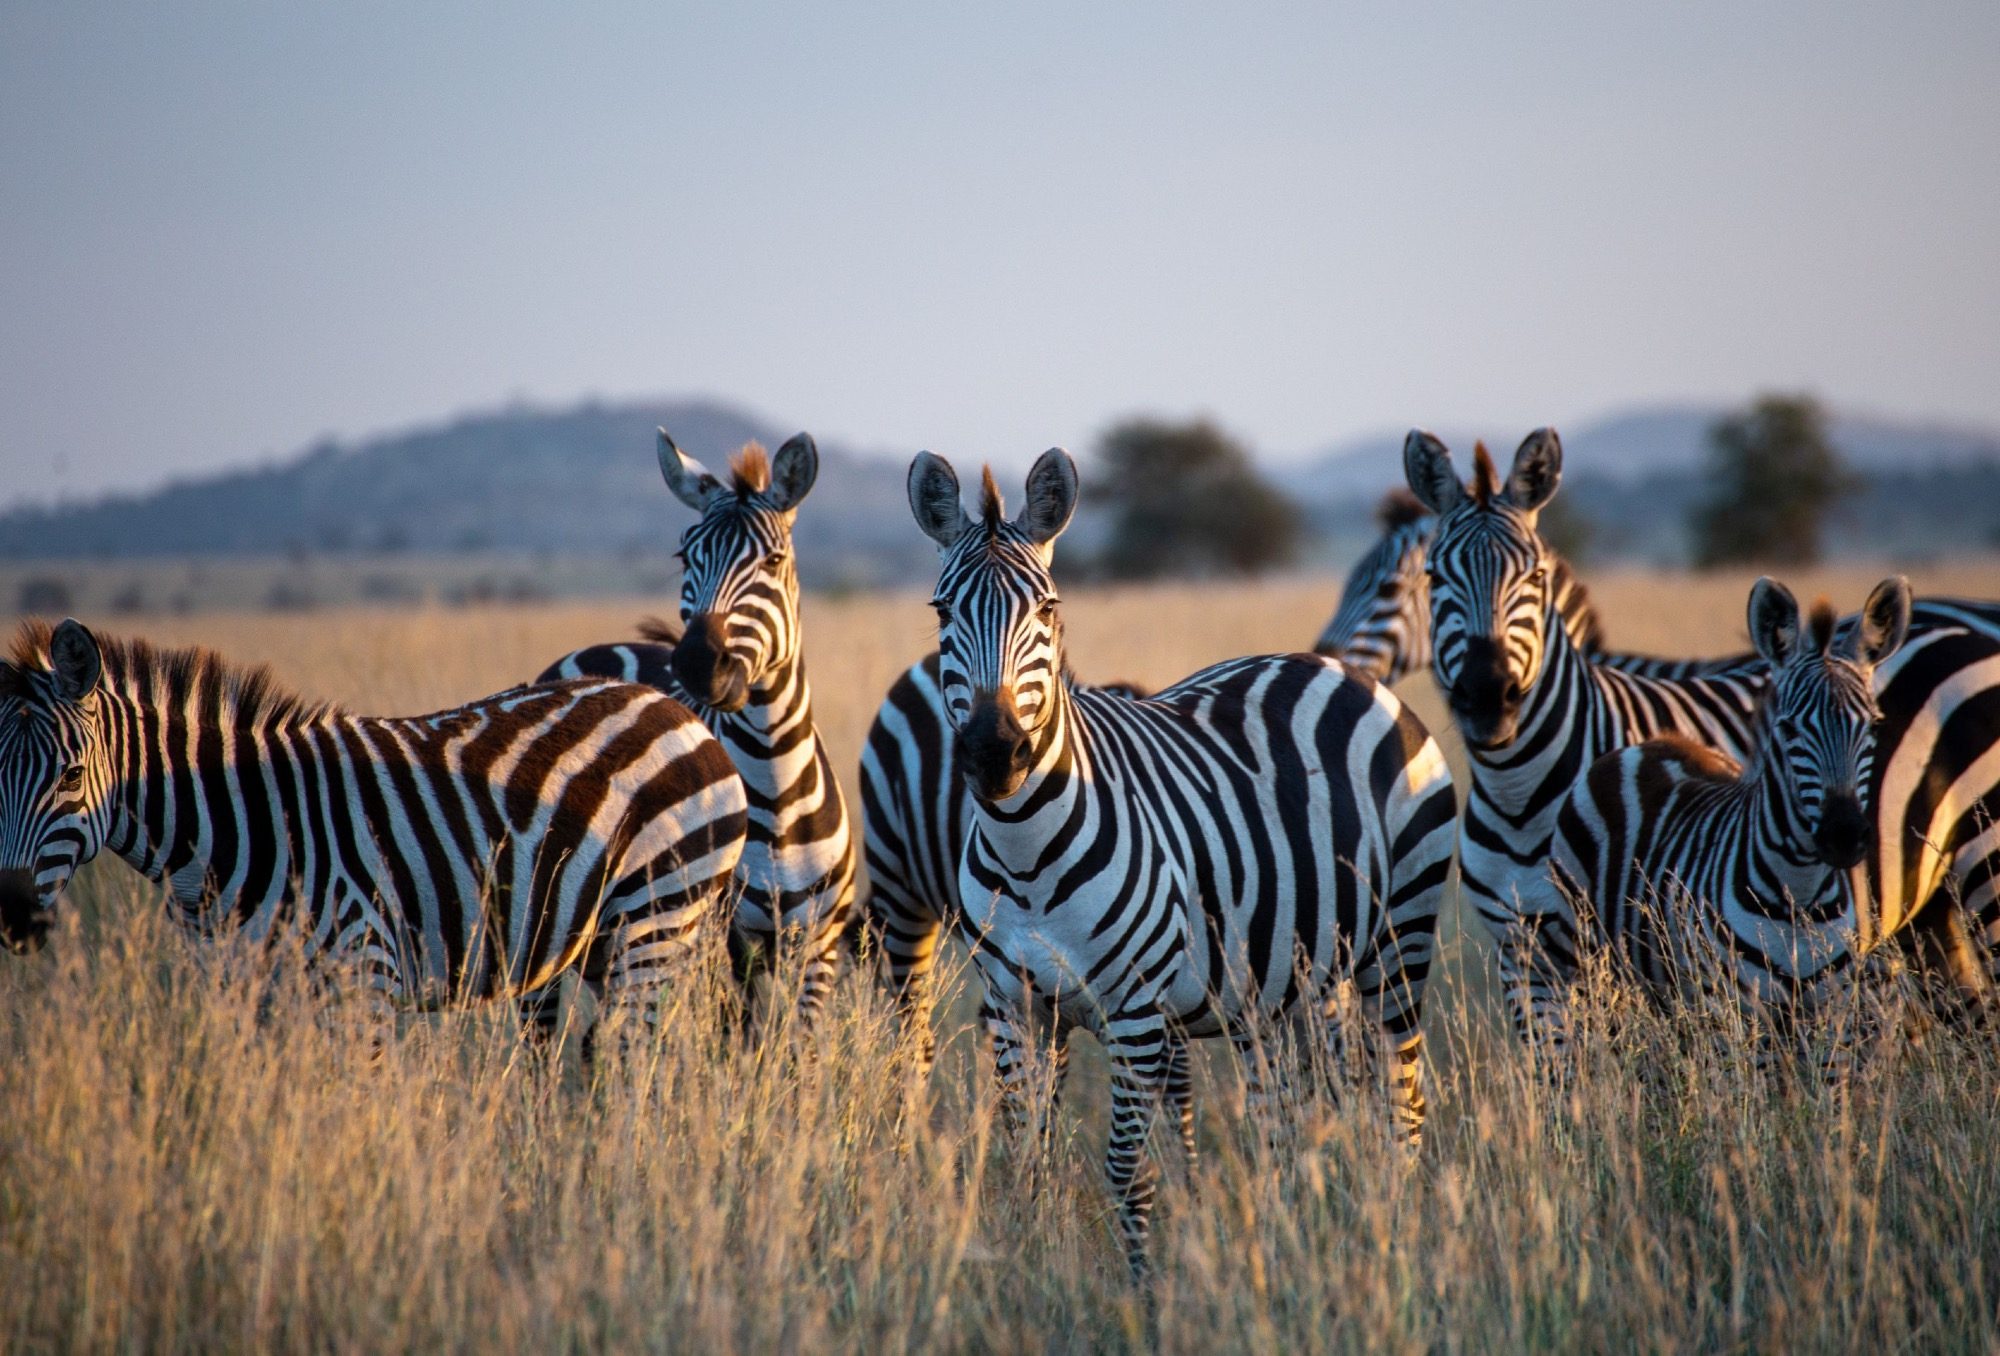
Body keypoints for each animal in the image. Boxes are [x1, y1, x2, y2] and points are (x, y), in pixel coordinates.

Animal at [0, 618, 748, 1055]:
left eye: (71, 775)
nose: (13, 917)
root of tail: (674, 707)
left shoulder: (364, 978)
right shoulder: (239, 995)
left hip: (654, 918)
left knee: (640, 1064)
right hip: (597, 939)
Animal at [539, 430, 858, 1030]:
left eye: (774, 560)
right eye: (686, 555)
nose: (696, 662)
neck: (776, 783)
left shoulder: (818, 948)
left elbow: (797, 1047)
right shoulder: (719, 948)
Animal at [906, 447, 1459, 1276]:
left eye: (1048, 611)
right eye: (943, 613)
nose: (995, 753)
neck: (1026, 853)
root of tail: (1341, 671)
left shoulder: (1135, 1011)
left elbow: (1126, 1171)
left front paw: (1143, 1288)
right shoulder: (1013, 1007)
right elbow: (1028, 1160)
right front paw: (1034, 1271)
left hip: (1400, 942)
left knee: (1402, 1100)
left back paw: (1395, 1233)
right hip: (1293, 983)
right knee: (1295, 1115)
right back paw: (1296, 1232)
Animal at [1531, 576, 1911, 1073]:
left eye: (1874, 726)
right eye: (1788, 729)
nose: (1844, 835)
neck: (1800, 897)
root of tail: (1648, 745)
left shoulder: (1833, 1017)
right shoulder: (1739, 1016)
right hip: (1585, 963)